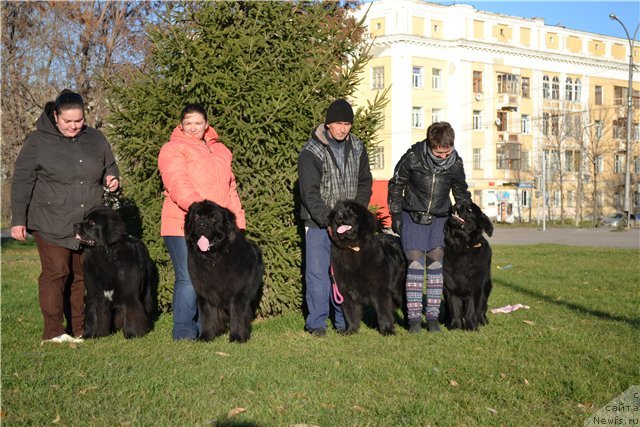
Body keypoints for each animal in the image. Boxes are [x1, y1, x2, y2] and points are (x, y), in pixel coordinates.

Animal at [73, 206, 155, 340]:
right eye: (84, 219)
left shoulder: (129, 294)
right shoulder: (95, 294)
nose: (75, 225)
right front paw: (92, 334)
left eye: (92, 222)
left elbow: (132, 312)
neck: (105, 256)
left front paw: (133, 334)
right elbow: (95, 315)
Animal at [184, 201, 264, 344]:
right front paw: (207, 336)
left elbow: (237, 314)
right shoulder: (205, 292)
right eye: (196, 217)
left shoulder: (238, 293)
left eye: (214, 219)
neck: (214, 259)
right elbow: (208, 315)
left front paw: (237, 337)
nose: (202, 225)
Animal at [330, 199, 404, 336]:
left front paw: (387, 331)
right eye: (338, 209)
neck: (353, 247)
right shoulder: (345, 291)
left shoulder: (380, 289)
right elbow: (350, 313)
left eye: (351, 211)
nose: (340, 212)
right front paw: (351, 330)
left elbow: (384, 312)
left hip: (399, 289)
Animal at [442, 199, 492, 332]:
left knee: (482, 310)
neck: (461, 246)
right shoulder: (450, 286)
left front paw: (470, 327)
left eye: (469, 209)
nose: (457, 204)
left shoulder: (476, 287)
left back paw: (482, 321)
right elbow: (454, 307)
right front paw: (455, 326)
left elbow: (472, 309)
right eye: (459, 203)